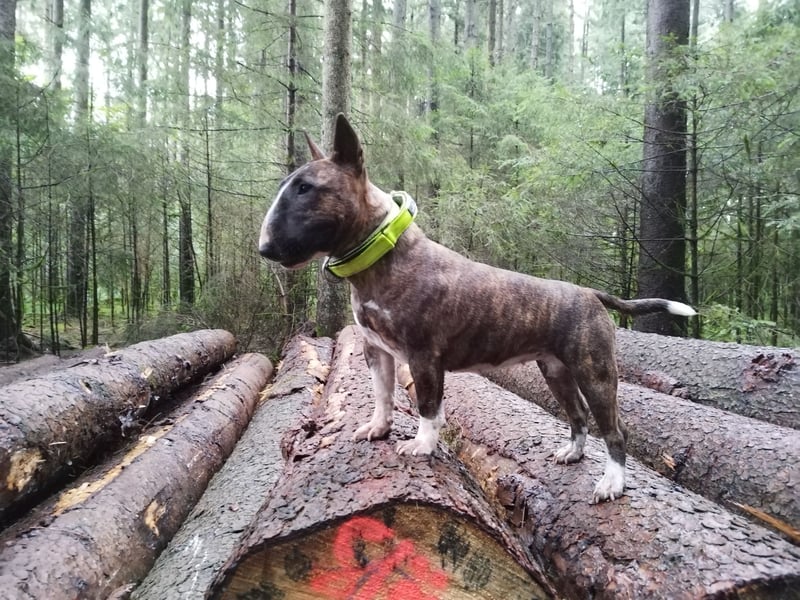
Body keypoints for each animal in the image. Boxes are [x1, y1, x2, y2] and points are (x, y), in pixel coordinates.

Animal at [260, 115, 692, 504]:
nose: (264, 249)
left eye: (305, 188)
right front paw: (378, 428)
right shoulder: (375, 350)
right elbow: (382, 394)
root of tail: (591, 294)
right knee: (578, 415)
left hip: (595, 371)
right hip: (556, 371)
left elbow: (428, 407)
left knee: (615, 429)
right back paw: (573, 452)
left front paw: (422, 446)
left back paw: (612, 483)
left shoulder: (424, 356)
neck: (384, 255)